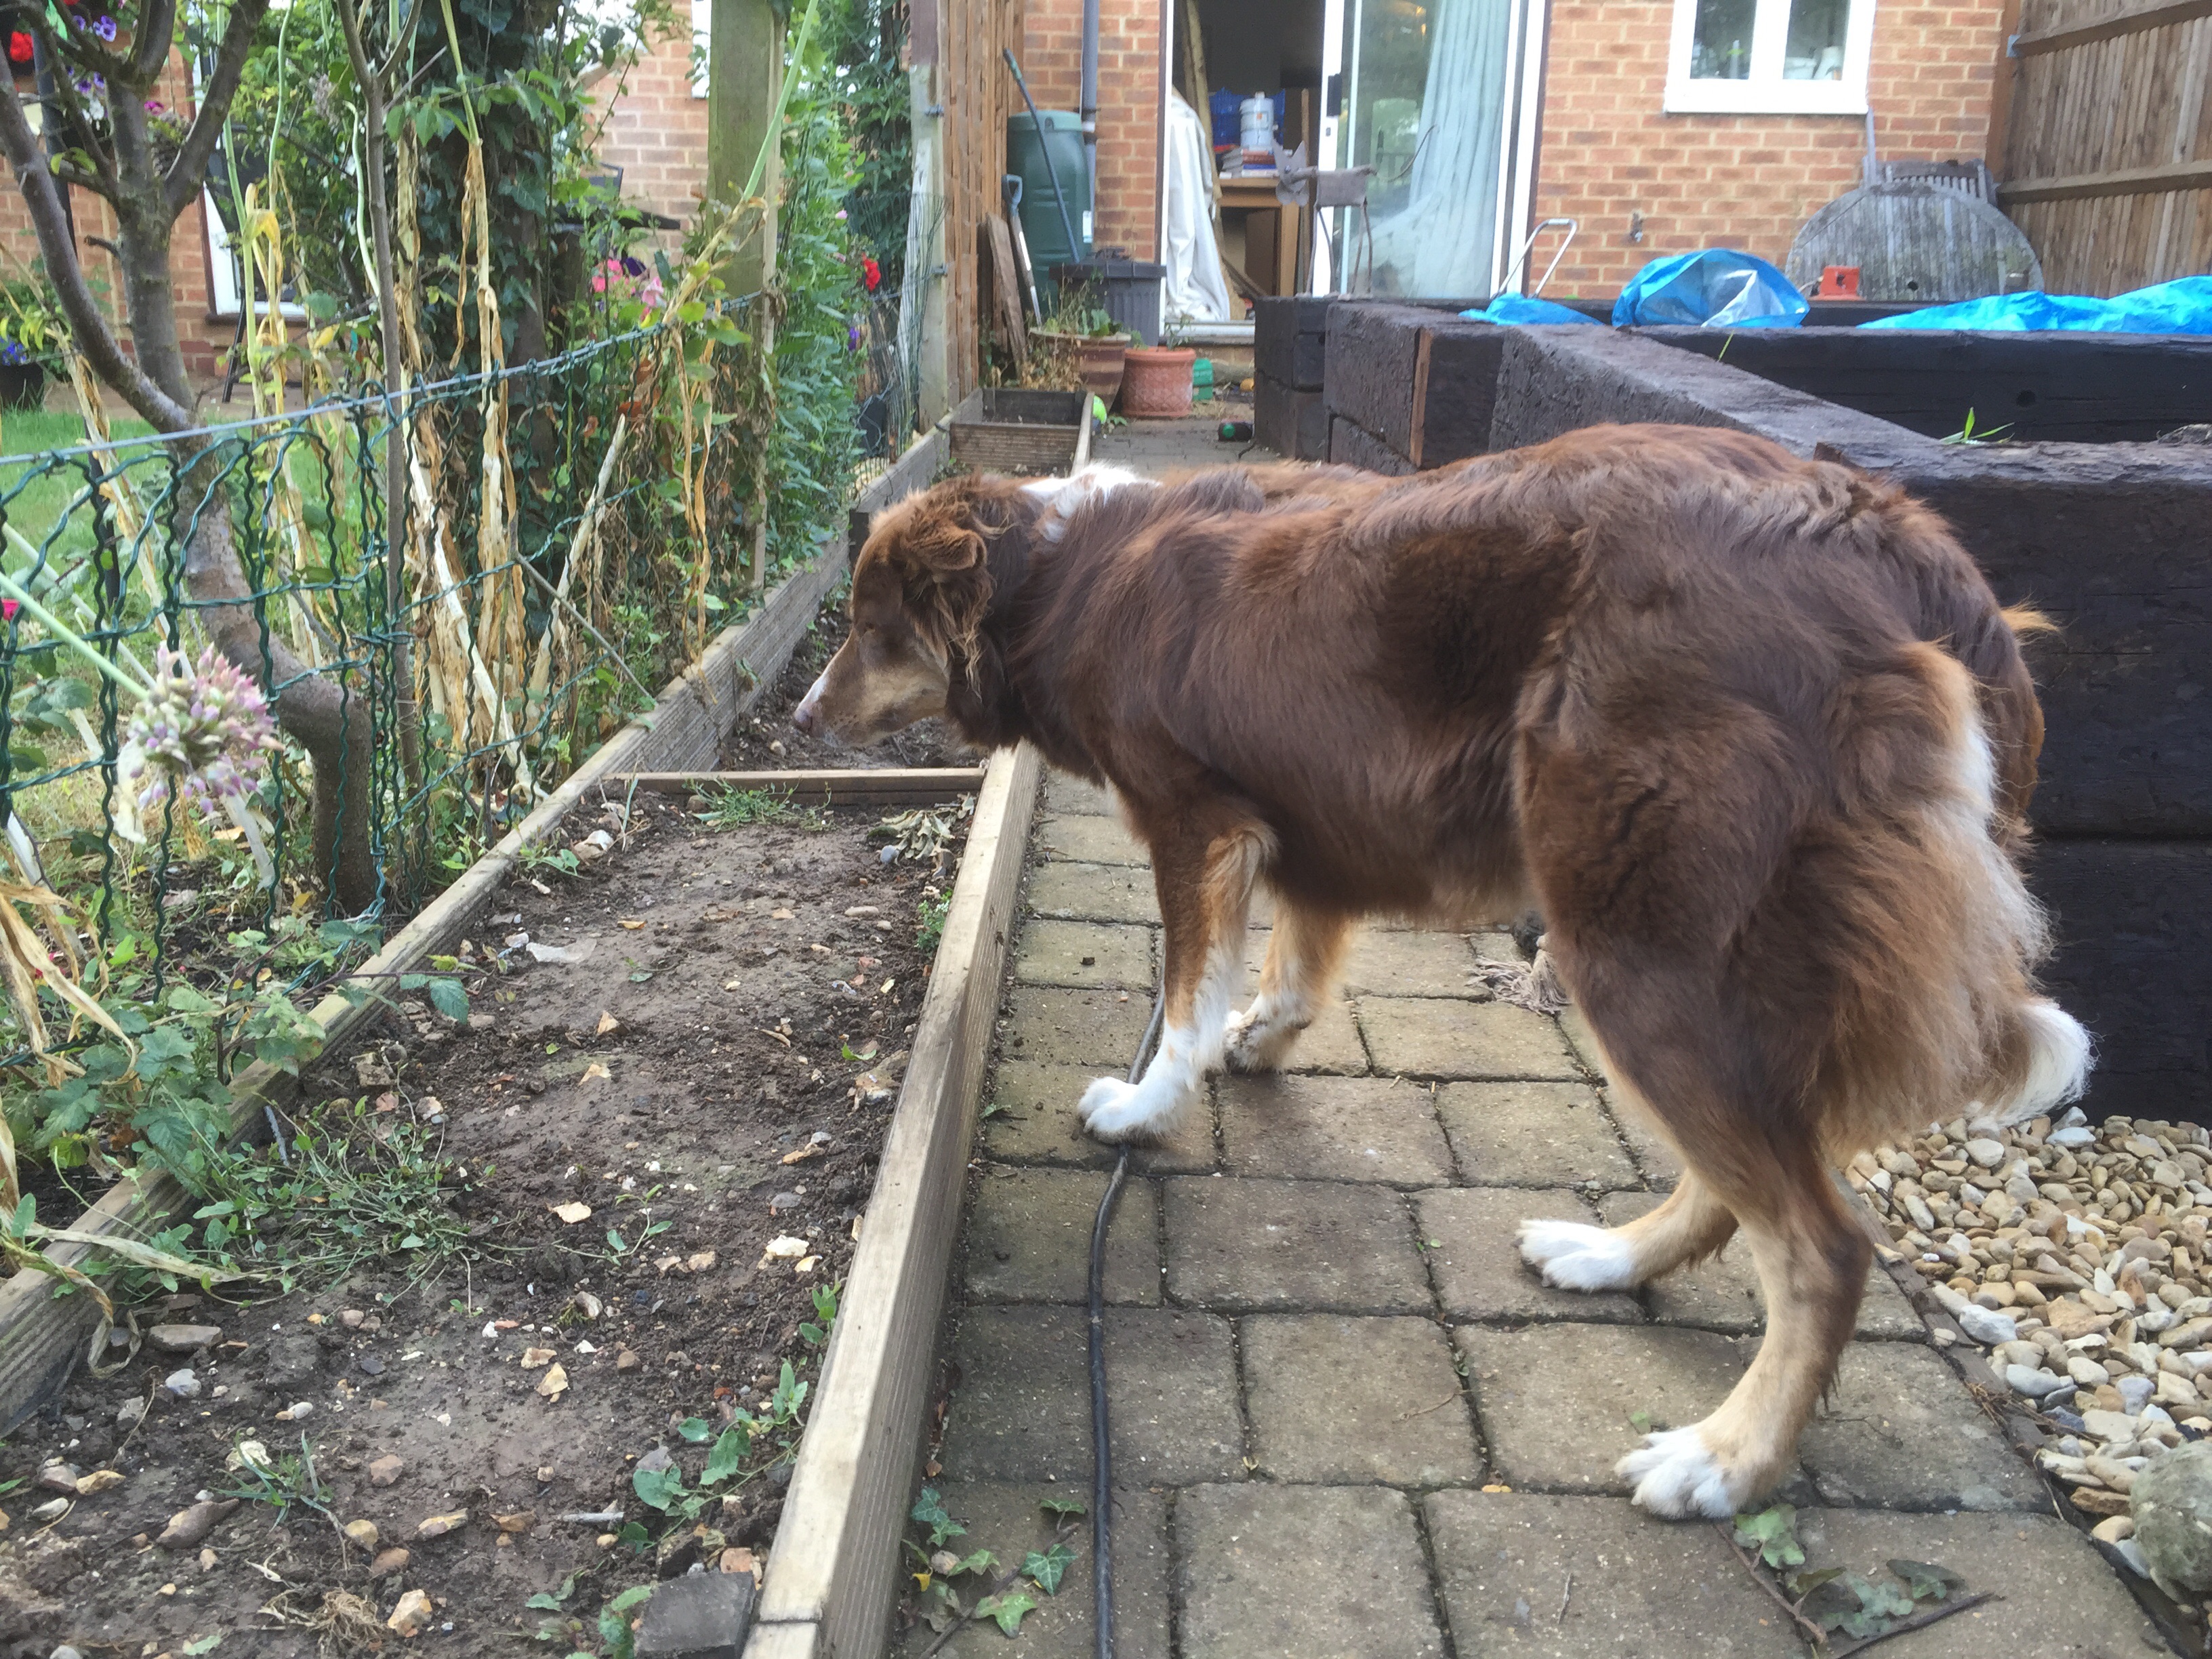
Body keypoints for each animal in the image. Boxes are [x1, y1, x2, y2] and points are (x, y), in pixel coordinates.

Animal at [796, 424, 2088, 1521]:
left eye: (869, 627)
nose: (801, 716)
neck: (1061, 570)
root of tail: (1911, 553)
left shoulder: (1194, 819)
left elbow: (1184, 996)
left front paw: (1149, 1101)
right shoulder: (1303, 817)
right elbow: (1295, 960)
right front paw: (1260, 1038)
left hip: (1635, 942)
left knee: (1819, 1244)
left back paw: (1724, 1460)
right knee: (1748, 1179)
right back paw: (1610, 1260)